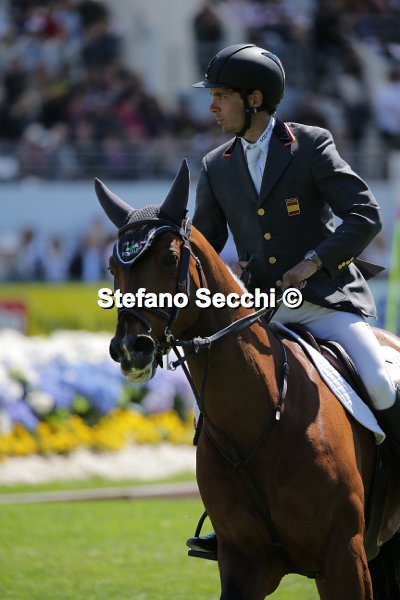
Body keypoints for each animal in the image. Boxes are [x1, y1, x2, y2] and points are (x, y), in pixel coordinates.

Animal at [94, 160, 400, 599]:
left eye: (169, 259)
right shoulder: (242, 566)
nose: (130, 348)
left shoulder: (345, 557)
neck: (261, 416)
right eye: (112, 267)